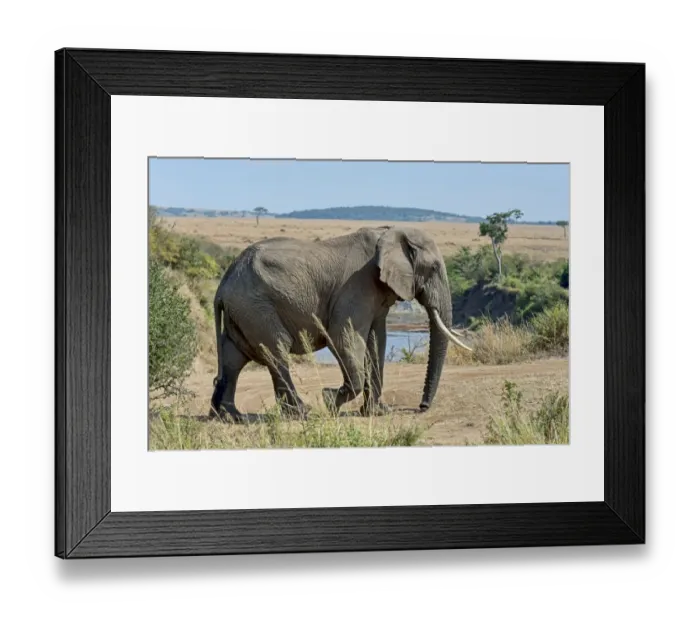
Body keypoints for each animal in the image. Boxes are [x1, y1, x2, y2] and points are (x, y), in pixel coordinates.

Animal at [209, 225, 472, 422]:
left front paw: (377, 412)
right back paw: (301, 413)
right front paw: (329, 401)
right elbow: (343, 336)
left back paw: (229, 416)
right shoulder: (359, 285)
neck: (389, 233)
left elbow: (376, 342)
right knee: (276, 349)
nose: (422, 406)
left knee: (234, 357)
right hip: (256, 307)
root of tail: (222, 286)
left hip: (243, 311)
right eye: (434, 268)